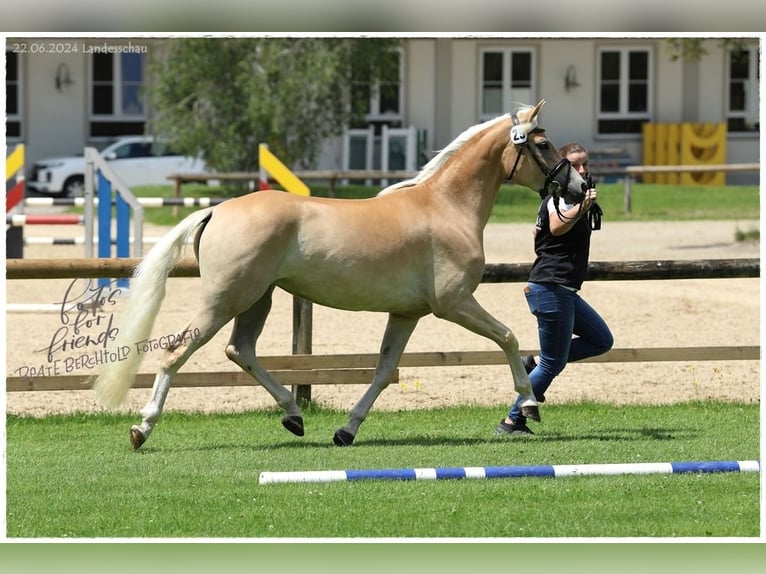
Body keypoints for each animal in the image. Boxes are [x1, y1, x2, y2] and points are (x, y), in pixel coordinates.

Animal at [93, 99, 592, 452]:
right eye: (542, 144)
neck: (446, 207)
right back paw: (142, 428)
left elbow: (384, 371)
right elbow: (508, 337)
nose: (579, 187)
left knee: (241, 349)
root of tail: (217, 209)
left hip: (258, 298)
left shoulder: (407, 314)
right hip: (225, 299)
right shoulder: (454, 304)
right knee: (177, 351)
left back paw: (293, 416)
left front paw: (346, 430)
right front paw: (528, 403)